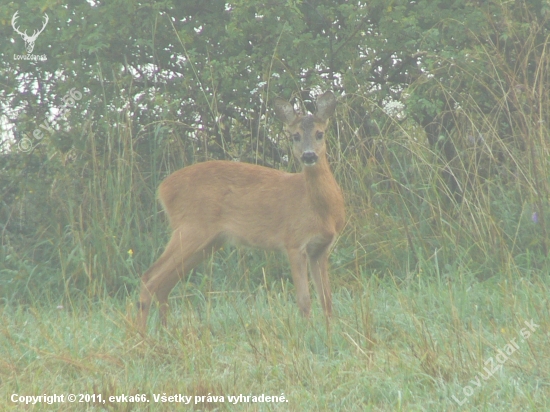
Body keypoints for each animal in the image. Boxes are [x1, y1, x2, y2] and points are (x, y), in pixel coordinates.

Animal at [138, 91, 344, 332]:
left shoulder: (320, 248)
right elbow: (304, 300)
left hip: (208, 242)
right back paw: (141, 334)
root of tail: (163, 189)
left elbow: (327, 298)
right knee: (150, 277)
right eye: (295, 136)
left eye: (320, 133)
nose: (309, 156)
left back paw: (163, 331)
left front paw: (331, 330)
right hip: (190, 229)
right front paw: (308, 332)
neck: (321, 210)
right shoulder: (293, 242)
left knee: (164, 283)